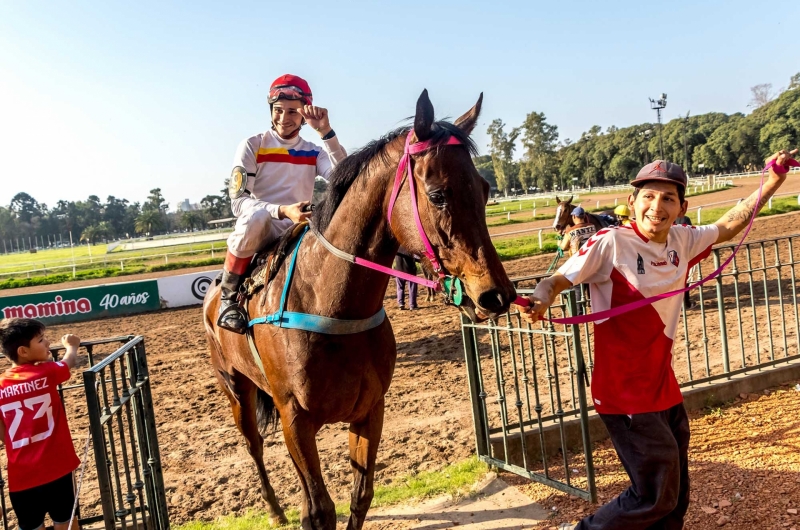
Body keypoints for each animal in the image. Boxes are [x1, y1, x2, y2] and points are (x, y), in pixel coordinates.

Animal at [203, 91, 516, 528]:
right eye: (438, 194)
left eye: (485, 189)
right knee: (254, 446)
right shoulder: (294, 417)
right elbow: (321, 509)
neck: (332, 307)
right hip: (235, 387)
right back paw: (275, 508)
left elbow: (359, 496)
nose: (495, 295)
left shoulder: (370, 409)